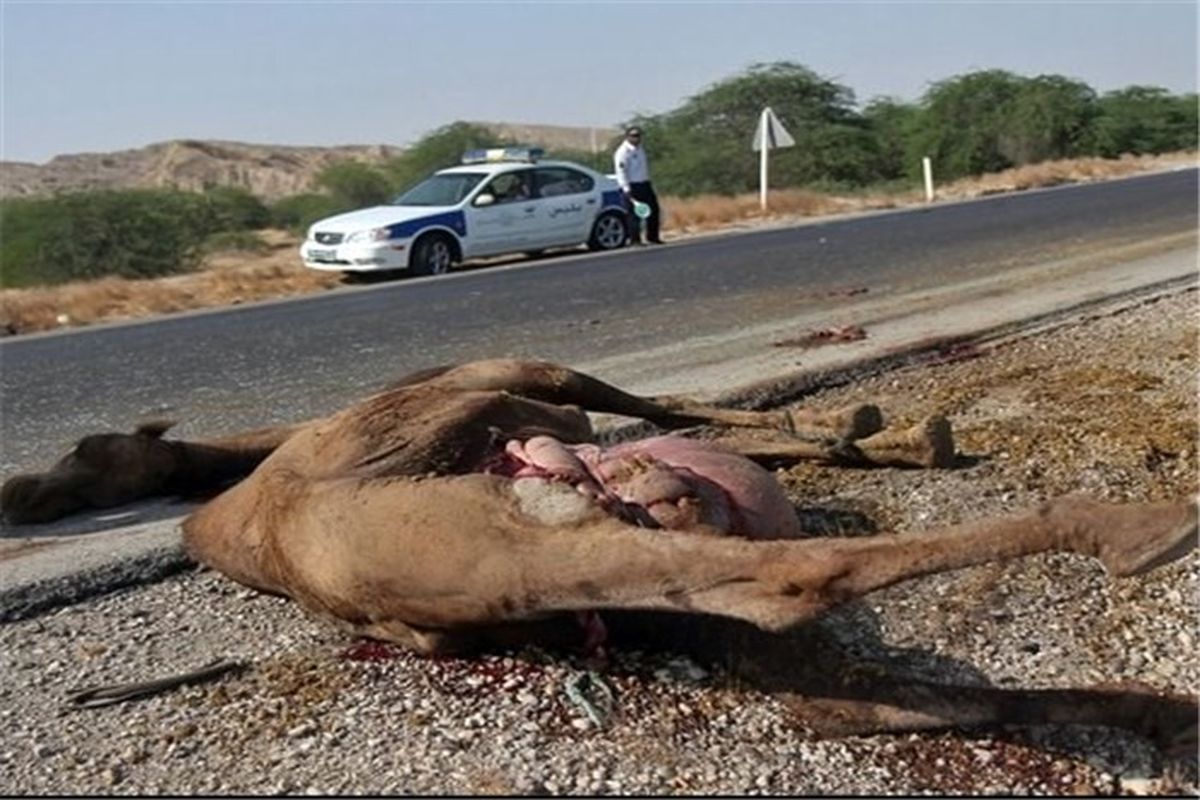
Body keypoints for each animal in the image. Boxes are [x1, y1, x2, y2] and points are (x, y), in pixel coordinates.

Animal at [4, 359, 1195, 748]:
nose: (34, 487)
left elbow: (676, 418)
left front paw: (856, 432)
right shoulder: (506, 388)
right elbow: (653, 409)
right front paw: (861, 432)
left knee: (856, 689)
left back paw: (1156, 711)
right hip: (527, 530)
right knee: (792, 587)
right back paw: (1140, 528)